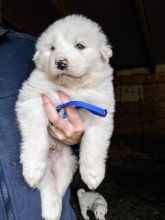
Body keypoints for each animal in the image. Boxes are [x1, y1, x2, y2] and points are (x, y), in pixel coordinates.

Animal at [15, 14, 114, 220]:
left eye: (80, 46)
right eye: (52, 48)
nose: (60, 62)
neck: (71, 87)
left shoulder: (100, 110)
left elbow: (94, 144)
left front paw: (93, 175)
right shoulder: (32, 101)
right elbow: (36, 138)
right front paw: (32, 168)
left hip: (67, 165)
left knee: (58, 188)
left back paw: (55, 208)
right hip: (50, 168)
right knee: (47, 186)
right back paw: (50, 205)